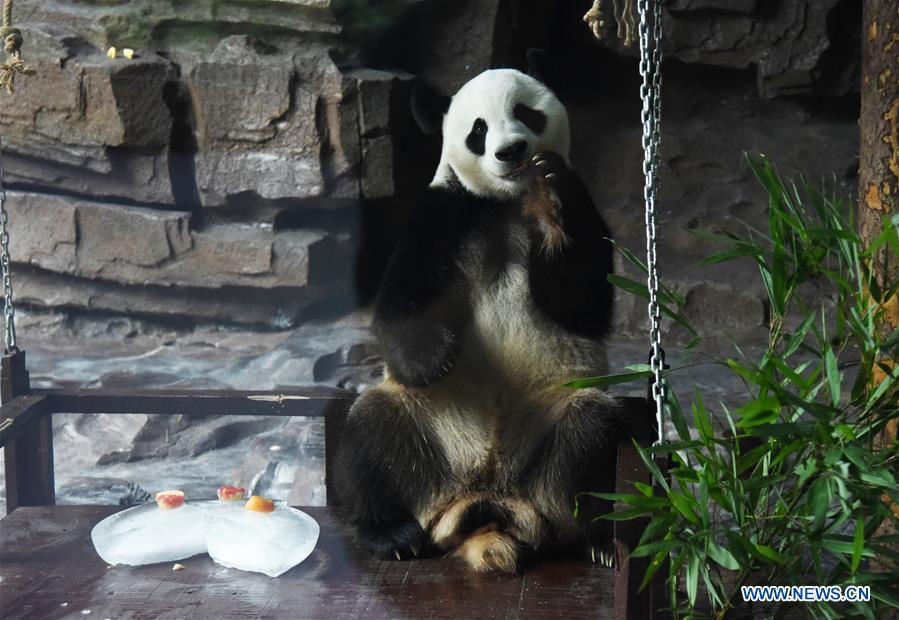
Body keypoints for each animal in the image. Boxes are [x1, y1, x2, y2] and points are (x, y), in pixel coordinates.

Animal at [334, 49, 621, 573]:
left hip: (551, 428)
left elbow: (585, 303)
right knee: (371, 435)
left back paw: (600, 538)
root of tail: (487, 501)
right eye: (479, 129)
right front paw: (438, 355)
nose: (511, 150)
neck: (504, 204)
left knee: (593, 438)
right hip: (427, 433)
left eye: (526, 112)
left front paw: (553, 205)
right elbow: (399, 305)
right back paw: (392, 534)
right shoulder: (443, 212)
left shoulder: (583, 205)